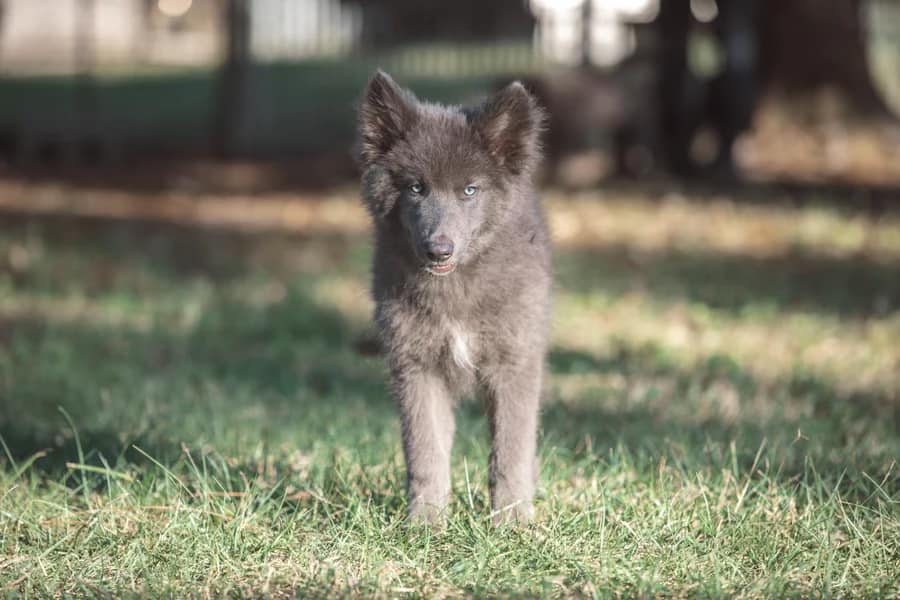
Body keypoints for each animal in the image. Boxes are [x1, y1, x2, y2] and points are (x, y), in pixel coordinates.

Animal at [356, 71, 552, 524]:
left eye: (469, 190)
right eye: (416, 188)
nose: (438, 250)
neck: (456, 291)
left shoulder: (514, 362)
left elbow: (511, 450)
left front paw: (511, 520)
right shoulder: (416, 367)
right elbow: (425, 450)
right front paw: (426, 522)